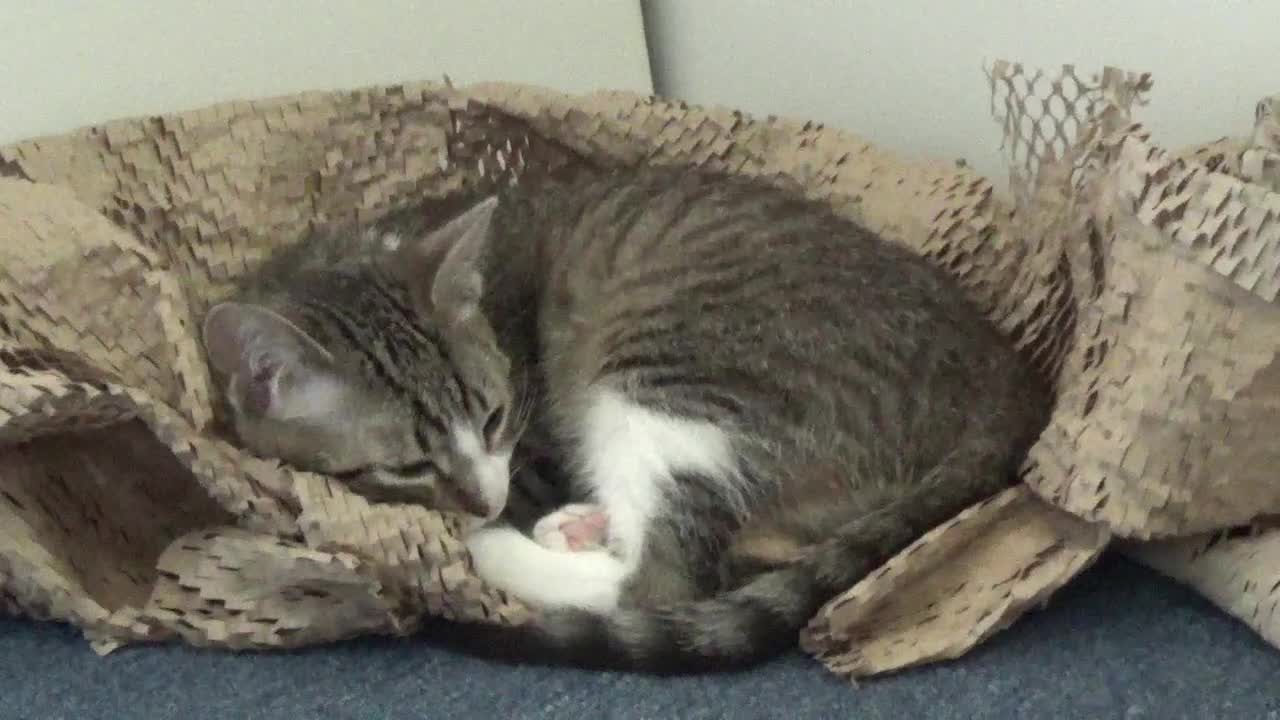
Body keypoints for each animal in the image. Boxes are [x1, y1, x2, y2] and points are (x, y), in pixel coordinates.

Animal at [199, 165, 1049, 671]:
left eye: (497, 416)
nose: (485, 501)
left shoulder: (532, 449)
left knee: (661, 582)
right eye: (408, 464)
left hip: (670, 379)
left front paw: (491, 527)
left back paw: (519, 546)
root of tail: (1006, 373)